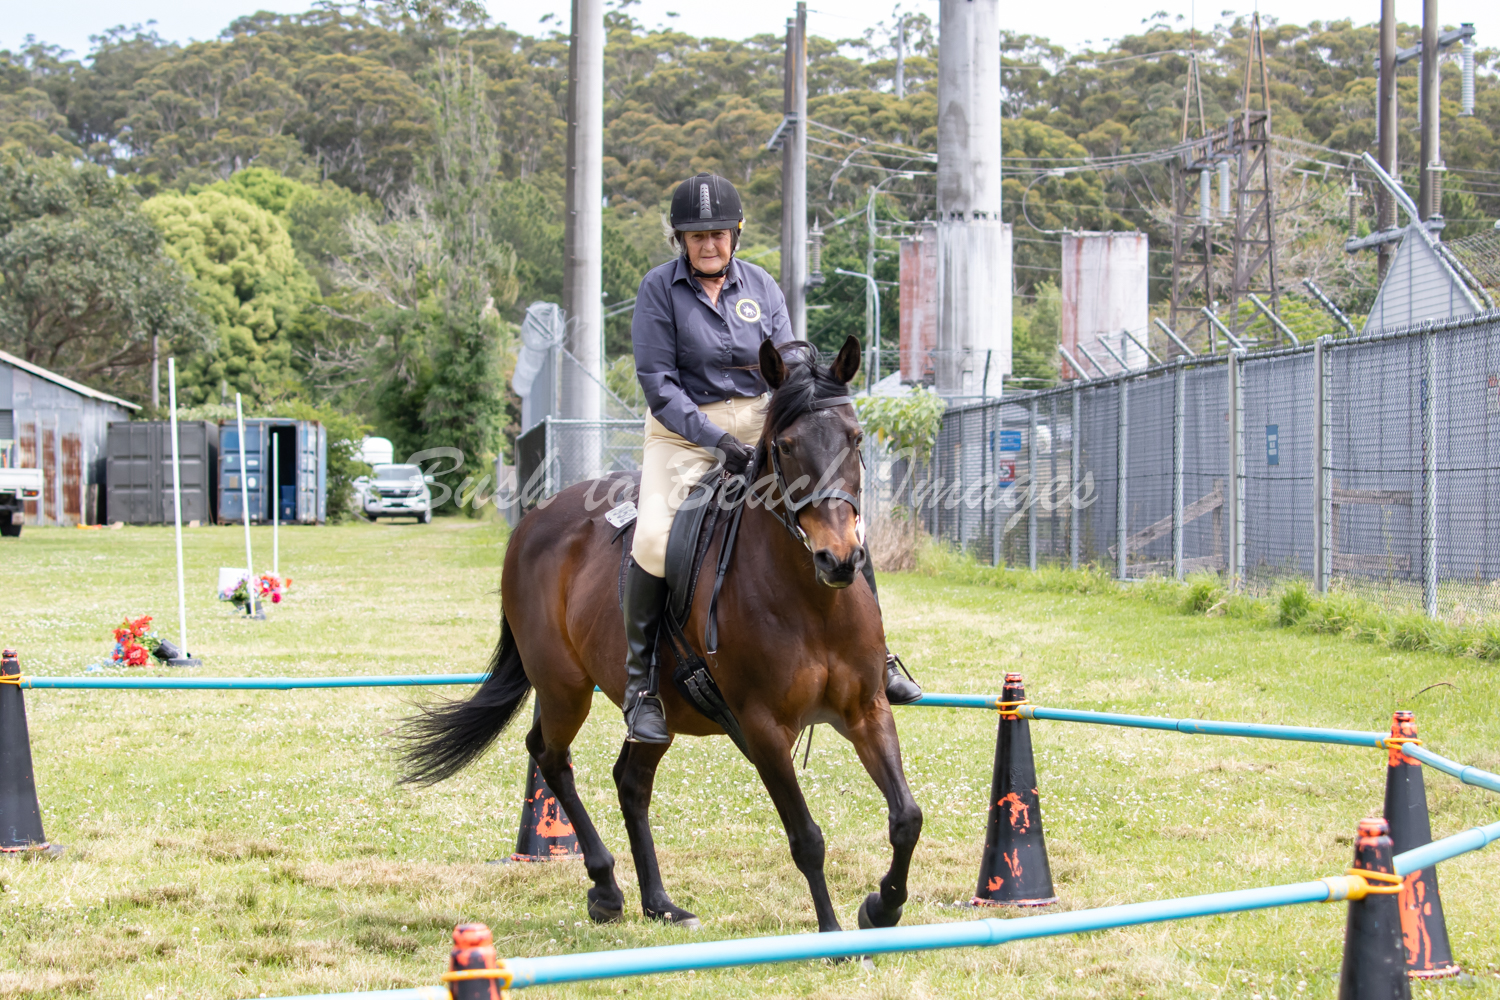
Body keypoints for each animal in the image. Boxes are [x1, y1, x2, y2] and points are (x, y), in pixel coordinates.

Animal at [398, 335, 922, 935]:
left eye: (855, 438)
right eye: (786, 447)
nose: (839, 559)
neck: (813, 602)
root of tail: (533, 521)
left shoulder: (867, 709)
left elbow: (907, 817)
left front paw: (882, 906)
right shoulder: (764, 727)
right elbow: (806, 838)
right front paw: (833, 935)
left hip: (657, 711)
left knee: (630, 781)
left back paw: (660, 904)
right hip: (563, 687)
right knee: (550, 758)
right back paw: (606, 888)